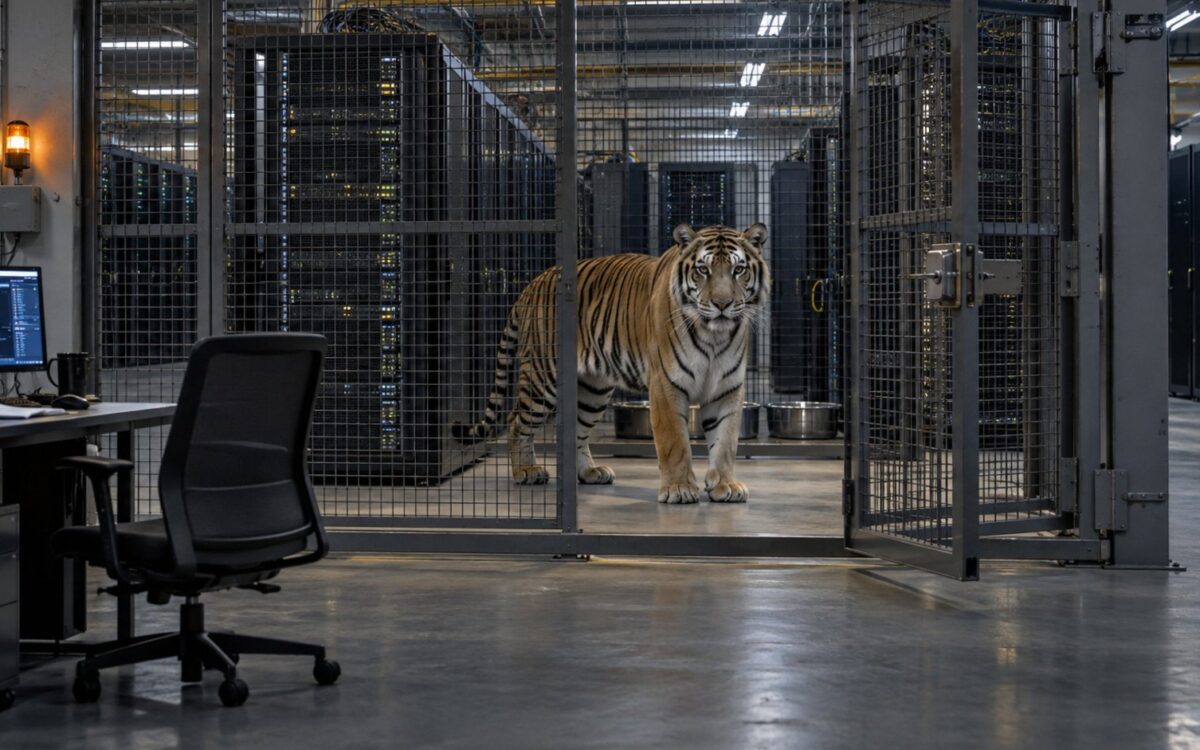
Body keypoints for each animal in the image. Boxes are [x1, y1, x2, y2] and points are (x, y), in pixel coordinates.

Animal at [454, 223, 770, 504]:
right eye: (703, 270)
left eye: (738, 270)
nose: (722, 304)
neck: (714, 336)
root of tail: (533, 283)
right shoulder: (666, 385)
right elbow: (675, 443)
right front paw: (679, 489)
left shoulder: (727, 388)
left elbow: (725, 442)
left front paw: (725, 485)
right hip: (543, 378)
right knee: (515, 420)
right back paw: (526, 471)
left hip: (592, 391)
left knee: (576, 430)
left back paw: (589, 472)